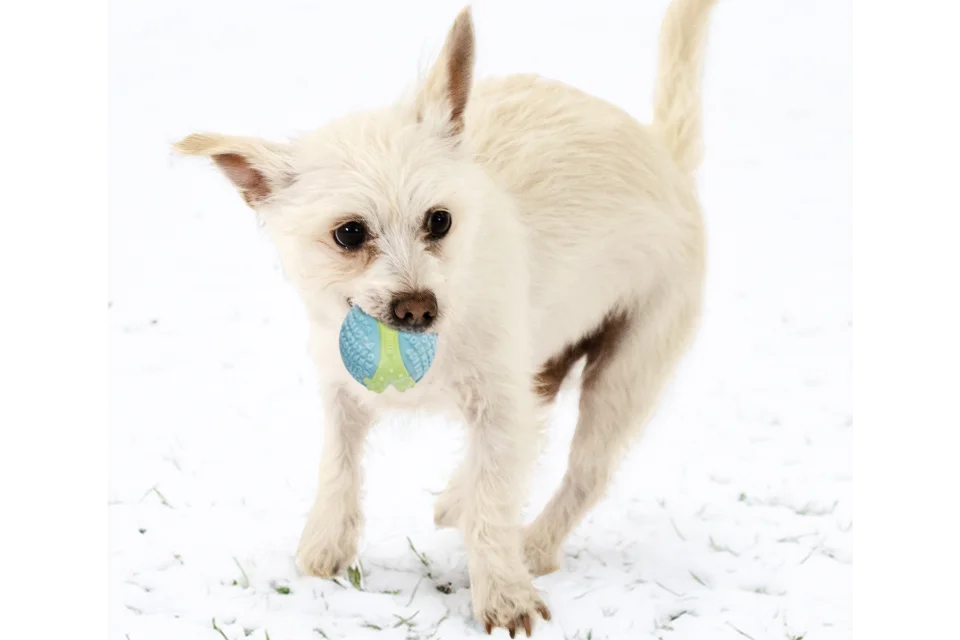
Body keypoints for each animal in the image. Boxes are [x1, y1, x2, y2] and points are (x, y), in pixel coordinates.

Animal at [174, 0, 712, 632]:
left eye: (439, 221)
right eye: (349, 233)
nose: (419, 308)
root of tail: (664, 154)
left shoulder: (500, 402)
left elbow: (494, 498)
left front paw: (504, 592)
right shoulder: (342, 390)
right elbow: (340, 464)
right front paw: (325, 544)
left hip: (626, 375)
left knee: (586, 472)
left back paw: (533, 545)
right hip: (548, 361)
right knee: (537, 424)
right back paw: (460, 497)